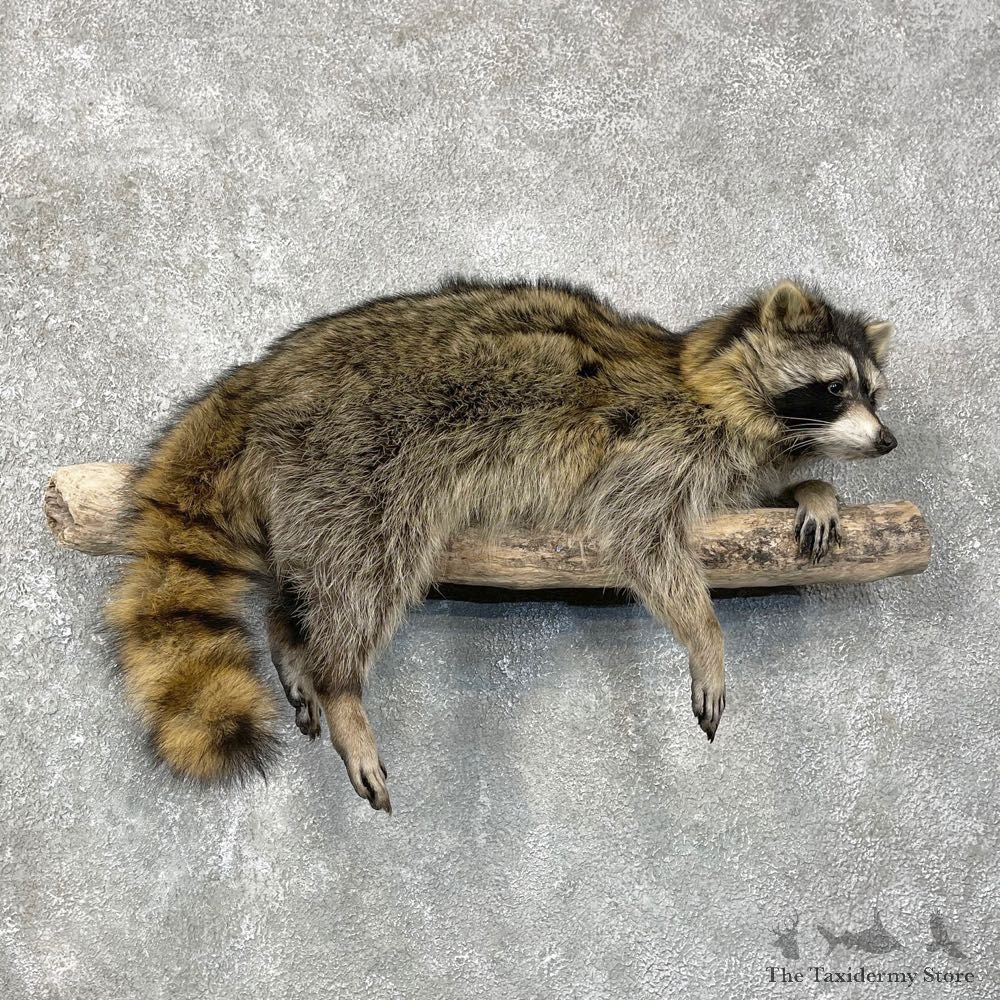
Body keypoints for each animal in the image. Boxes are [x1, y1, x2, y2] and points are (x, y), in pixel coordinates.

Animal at [105, 278, 896, 812]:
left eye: (875, 392)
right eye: (834, 387)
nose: (889, 440)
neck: (710, 381)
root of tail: (263, 376)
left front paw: (811, 490)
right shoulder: (658, 442)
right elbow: (638, 532)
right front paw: (706, 633)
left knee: (304, 578)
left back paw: (288, 633)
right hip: (357, 454)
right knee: (364, 568)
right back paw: (338, 680)